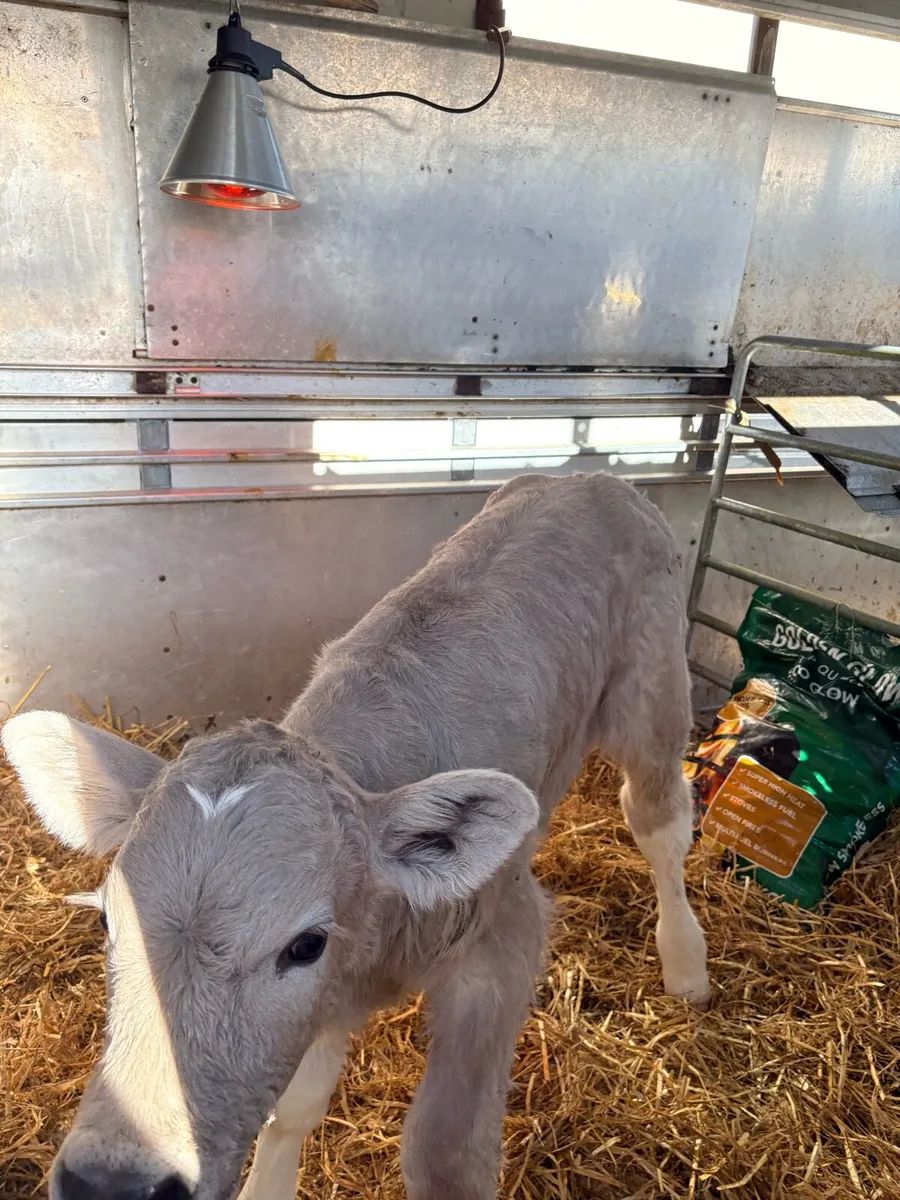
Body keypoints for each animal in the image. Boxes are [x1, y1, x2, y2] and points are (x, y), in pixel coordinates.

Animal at [2, 472, 709, 1200]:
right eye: (107, 921)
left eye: (306, 944)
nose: (110, 1185)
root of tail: (586, 477)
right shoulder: (328, 1004)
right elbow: (292, 1108)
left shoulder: (506, 934)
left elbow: (445, 1153)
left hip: (652, 689)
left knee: (658, 818)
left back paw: (686, 965)